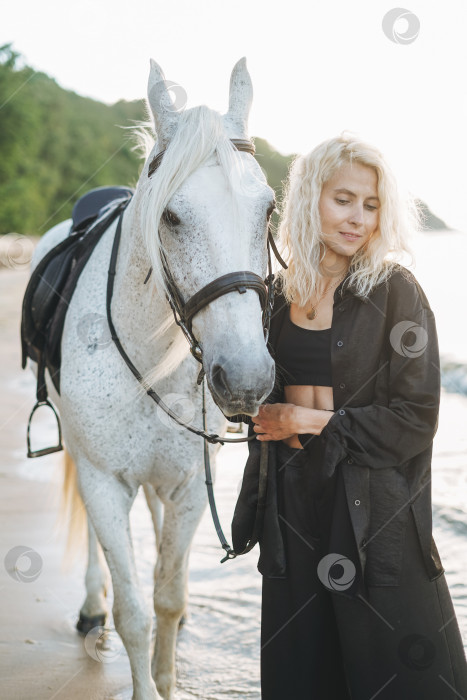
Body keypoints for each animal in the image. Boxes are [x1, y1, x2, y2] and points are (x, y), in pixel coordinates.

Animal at [31, 60, 278, 700]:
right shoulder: (103, 481)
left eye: (269, 209)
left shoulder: (189, 483)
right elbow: (134, 614)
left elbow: (168, 597)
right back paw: (90, 604)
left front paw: (170, 677)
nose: (246, 377)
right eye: (170, 215)